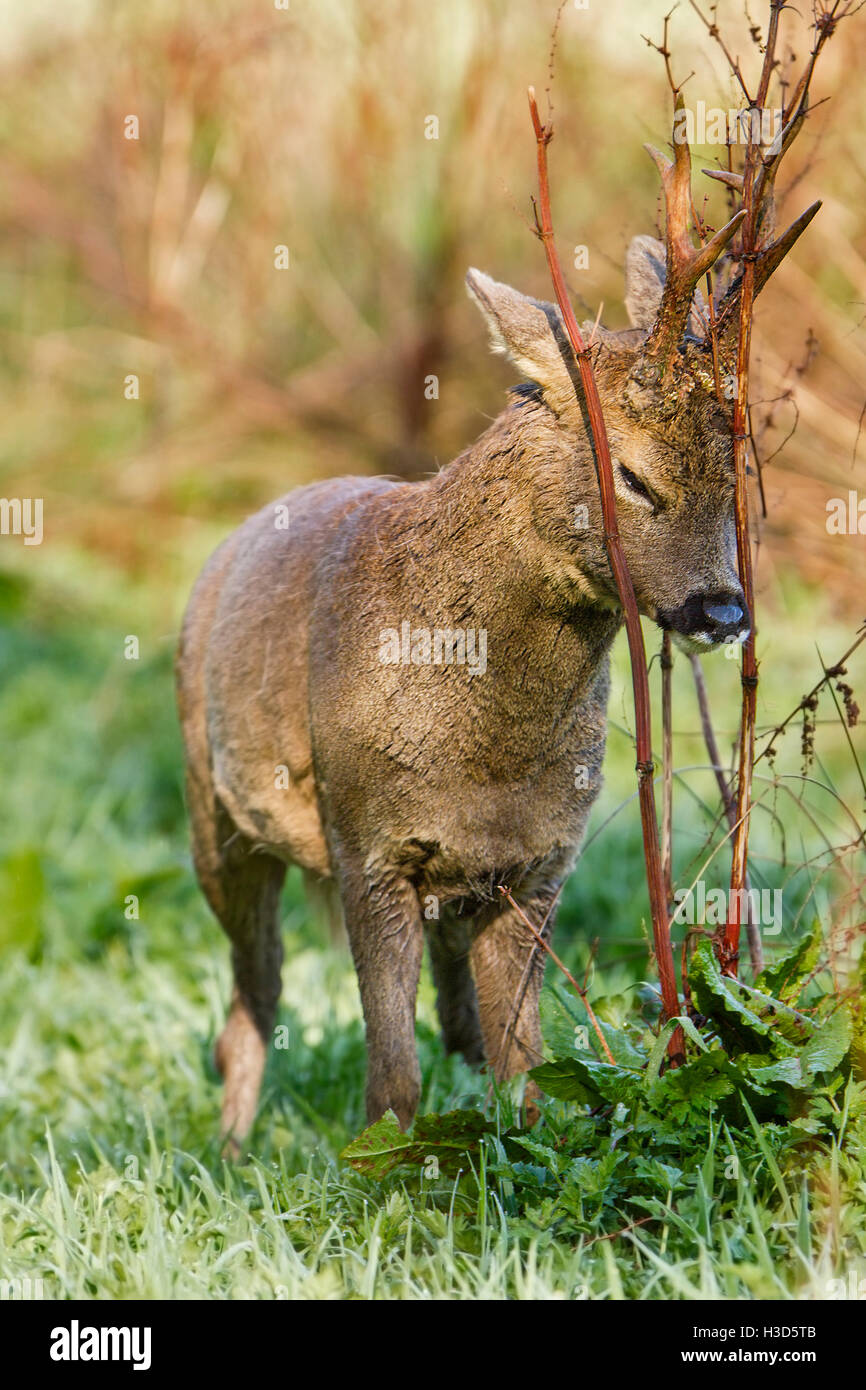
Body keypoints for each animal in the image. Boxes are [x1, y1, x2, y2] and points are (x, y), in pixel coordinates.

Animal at [176, 125, 811, 1156]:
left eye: (740, 466)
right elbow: (391, 1082)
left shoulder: (538, 863)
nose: (720, 610)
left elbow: (528, 1073)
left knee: (451, 1022)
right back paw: (231, 1153)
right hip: (213, 811)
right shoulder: (367, 842)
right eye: (631, 475)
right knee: (251, 1000)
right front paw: (386, 1175)